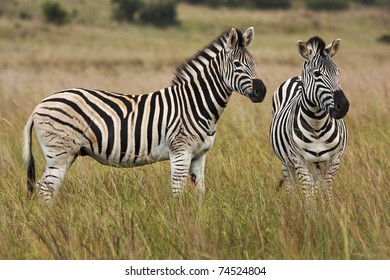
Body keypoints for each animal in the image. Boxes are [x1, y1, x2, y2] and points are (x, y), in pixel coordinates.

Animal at [22, 27, 266, 202]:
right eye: (237, 64)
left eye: (254, 63)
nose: (261, 91)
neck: (196, 104)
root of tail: (38, 106)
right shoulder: (181, 152)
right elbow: (177, 193)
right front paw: (180, 225)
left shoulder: (199, 155)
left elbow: (200, 193)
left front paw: (200, 220)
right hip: (59, 154)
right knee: (45, 191)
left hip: (65, 154)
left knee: (44, 189)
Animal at [270, 36, 348, 199]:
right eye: (317, 74)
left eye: (337, 72)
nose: (344, 106)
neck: (317, 124)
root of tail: (297, 77)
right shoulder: (299, 161)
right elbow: (308, 196)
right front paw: (309, 206)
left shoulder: (334, 161)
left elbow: (326, 191)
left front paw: (327, 206)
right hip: (286, 162)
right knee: (291, 185)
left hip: (316, 165)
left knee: (314, 185)